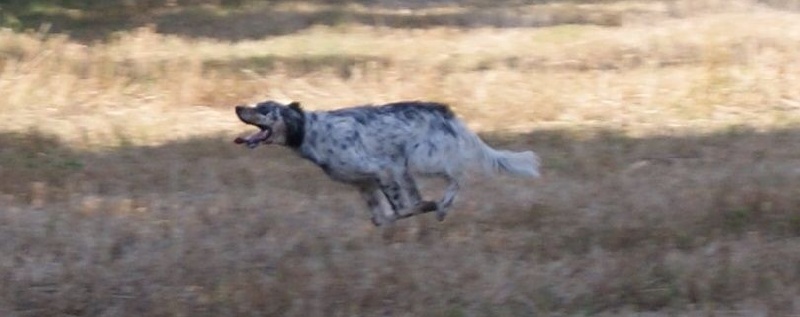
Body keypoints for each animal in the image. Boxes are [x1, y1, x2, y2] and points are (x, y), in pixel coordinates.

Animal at [234, 100, 540, 226]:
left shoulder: (382, 169)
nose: (237, 107)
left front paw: (430, 207)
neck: (311, 130)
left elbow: (403, 208)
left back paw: (442, 207)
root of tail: (446, 112)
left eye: (264, 109)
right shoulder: (365, 184)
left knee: (457, 179)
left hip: (422, 159)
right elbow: (382, 217)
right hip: (408, 169)